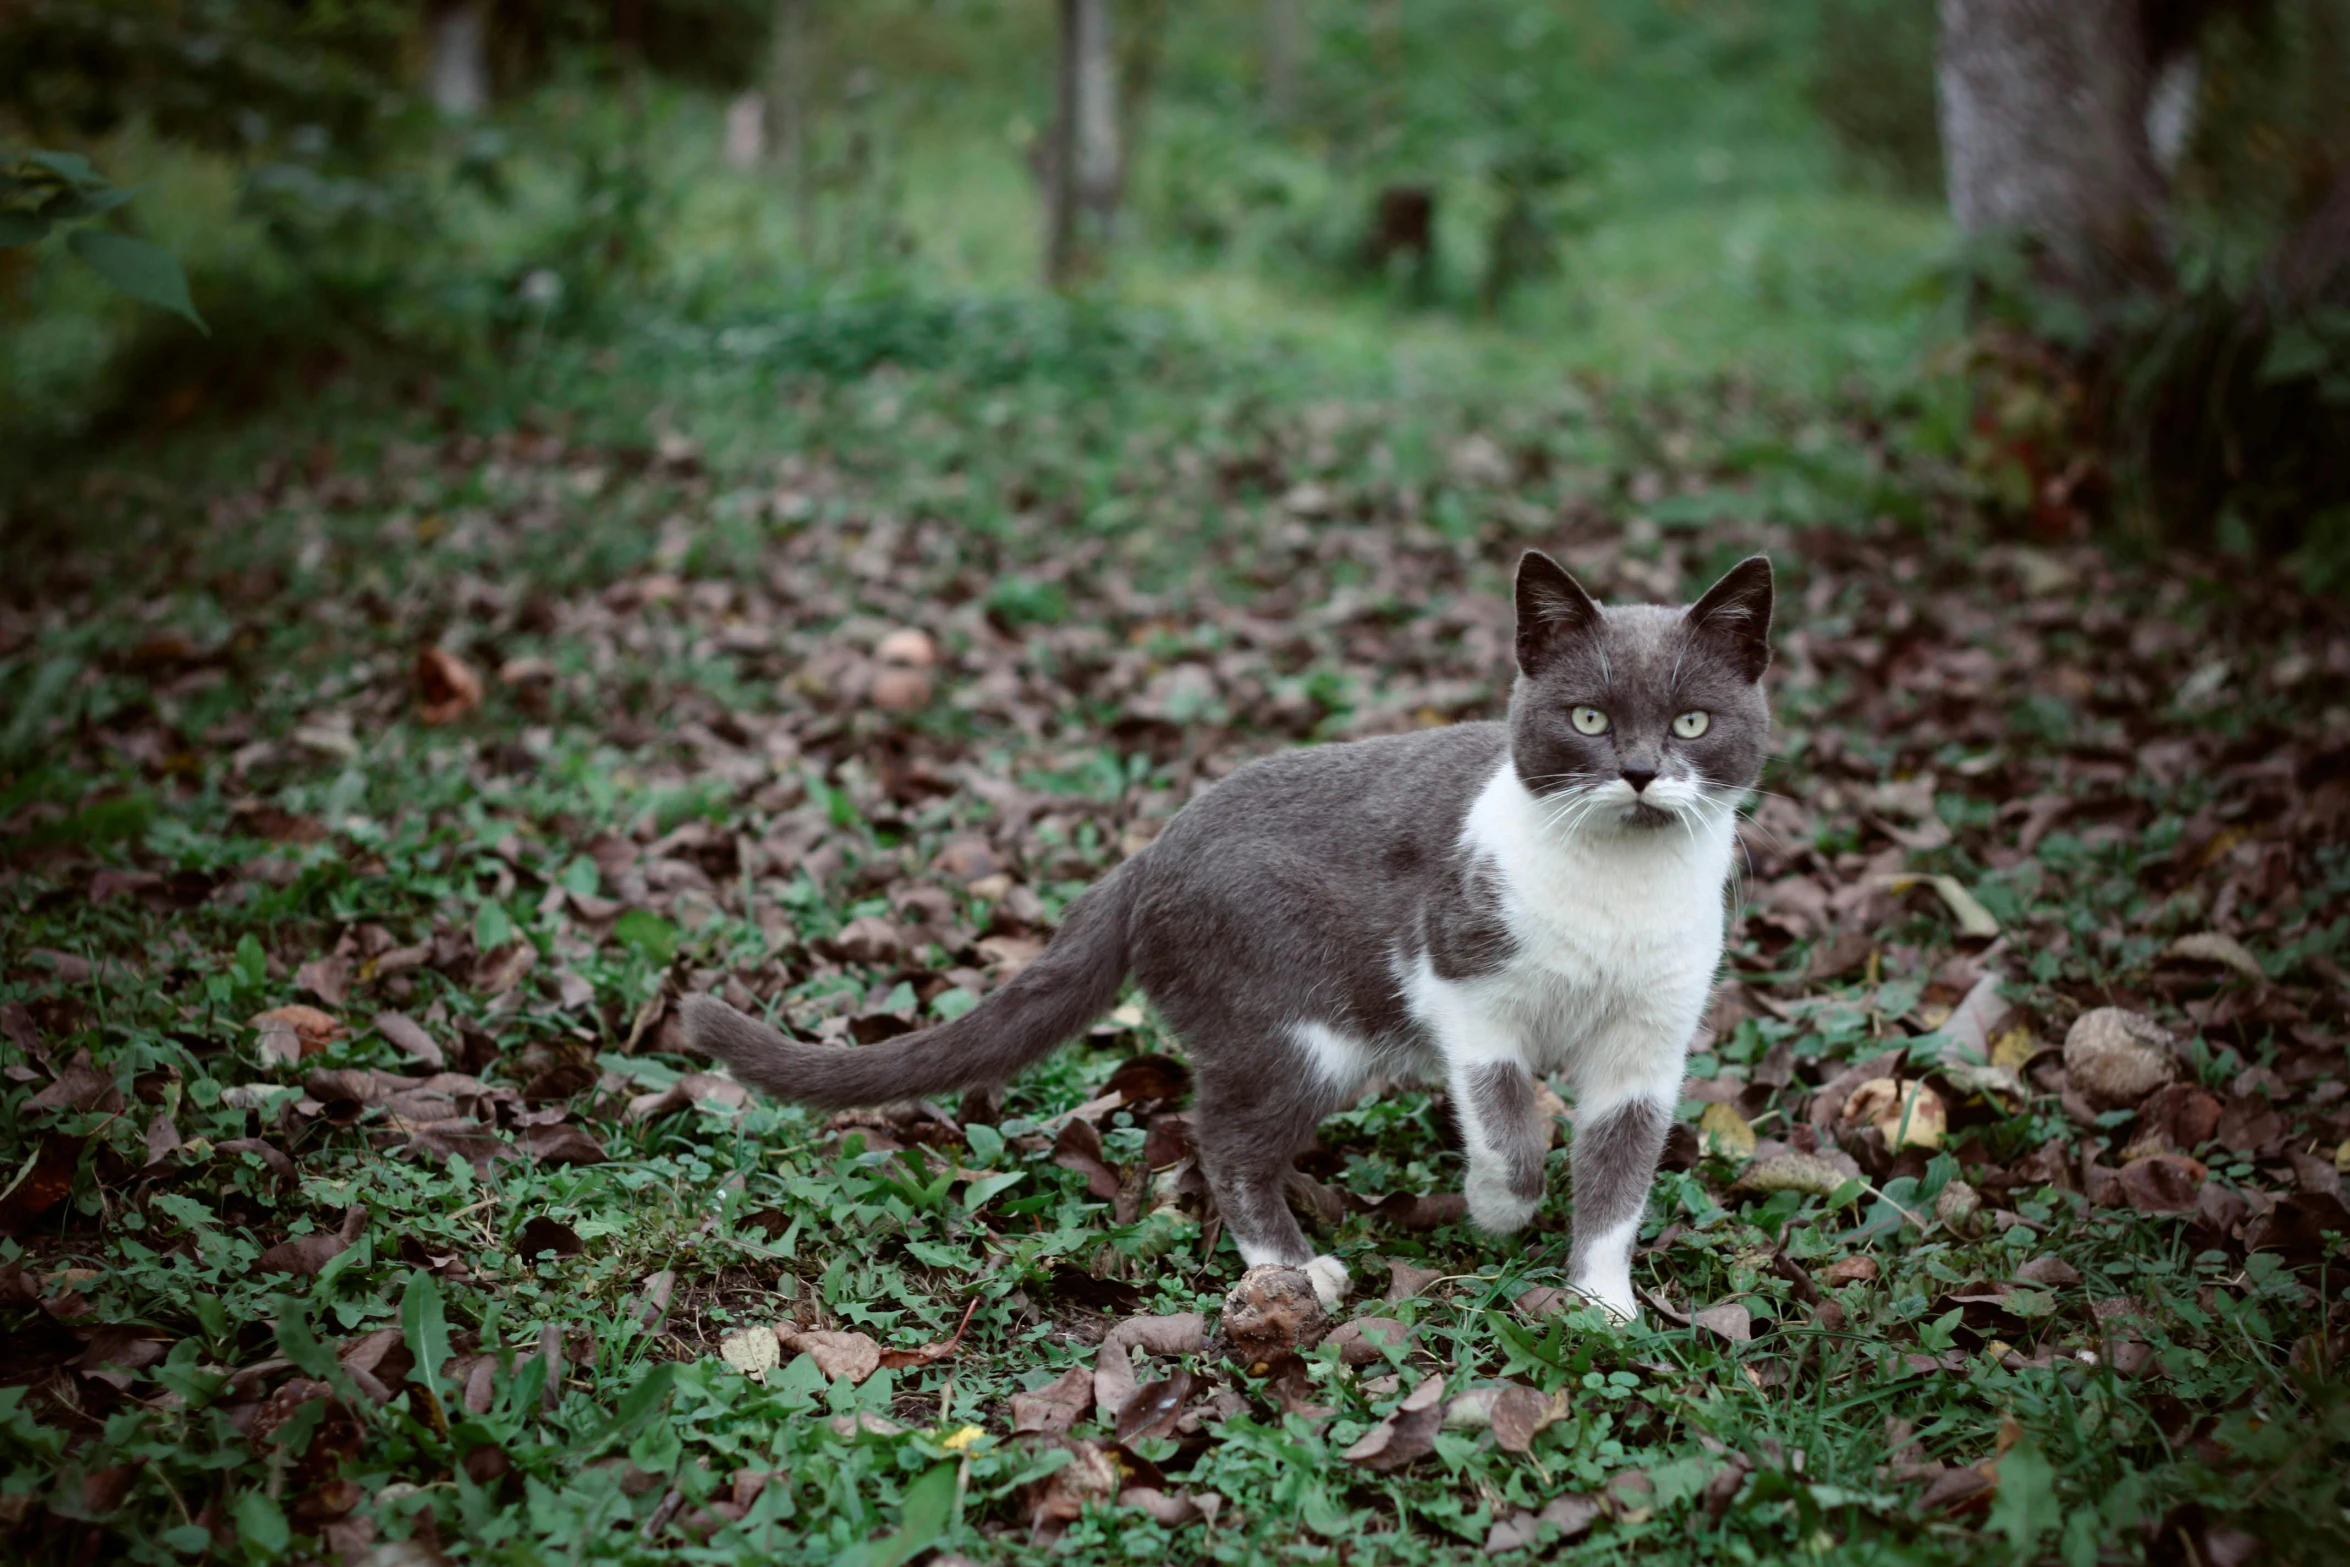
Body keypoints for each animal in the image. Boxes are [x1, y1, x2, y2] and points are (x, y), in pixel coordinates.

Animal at [686, 552, 1767, 1325]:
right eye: (1586, 718)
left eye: (1692, 721)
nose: (1639, 771)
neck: (1616, 895)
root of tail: (1150, 852)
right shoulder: (1461, 978)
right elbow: (1508, 1126)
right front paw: (1498, 1208)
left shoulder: (1650, 1040)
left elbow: (1620, 1168)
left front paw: (1602, 1301)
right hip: (1294, 1010)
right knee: (1226, 1135)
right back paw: (1296, 1268)